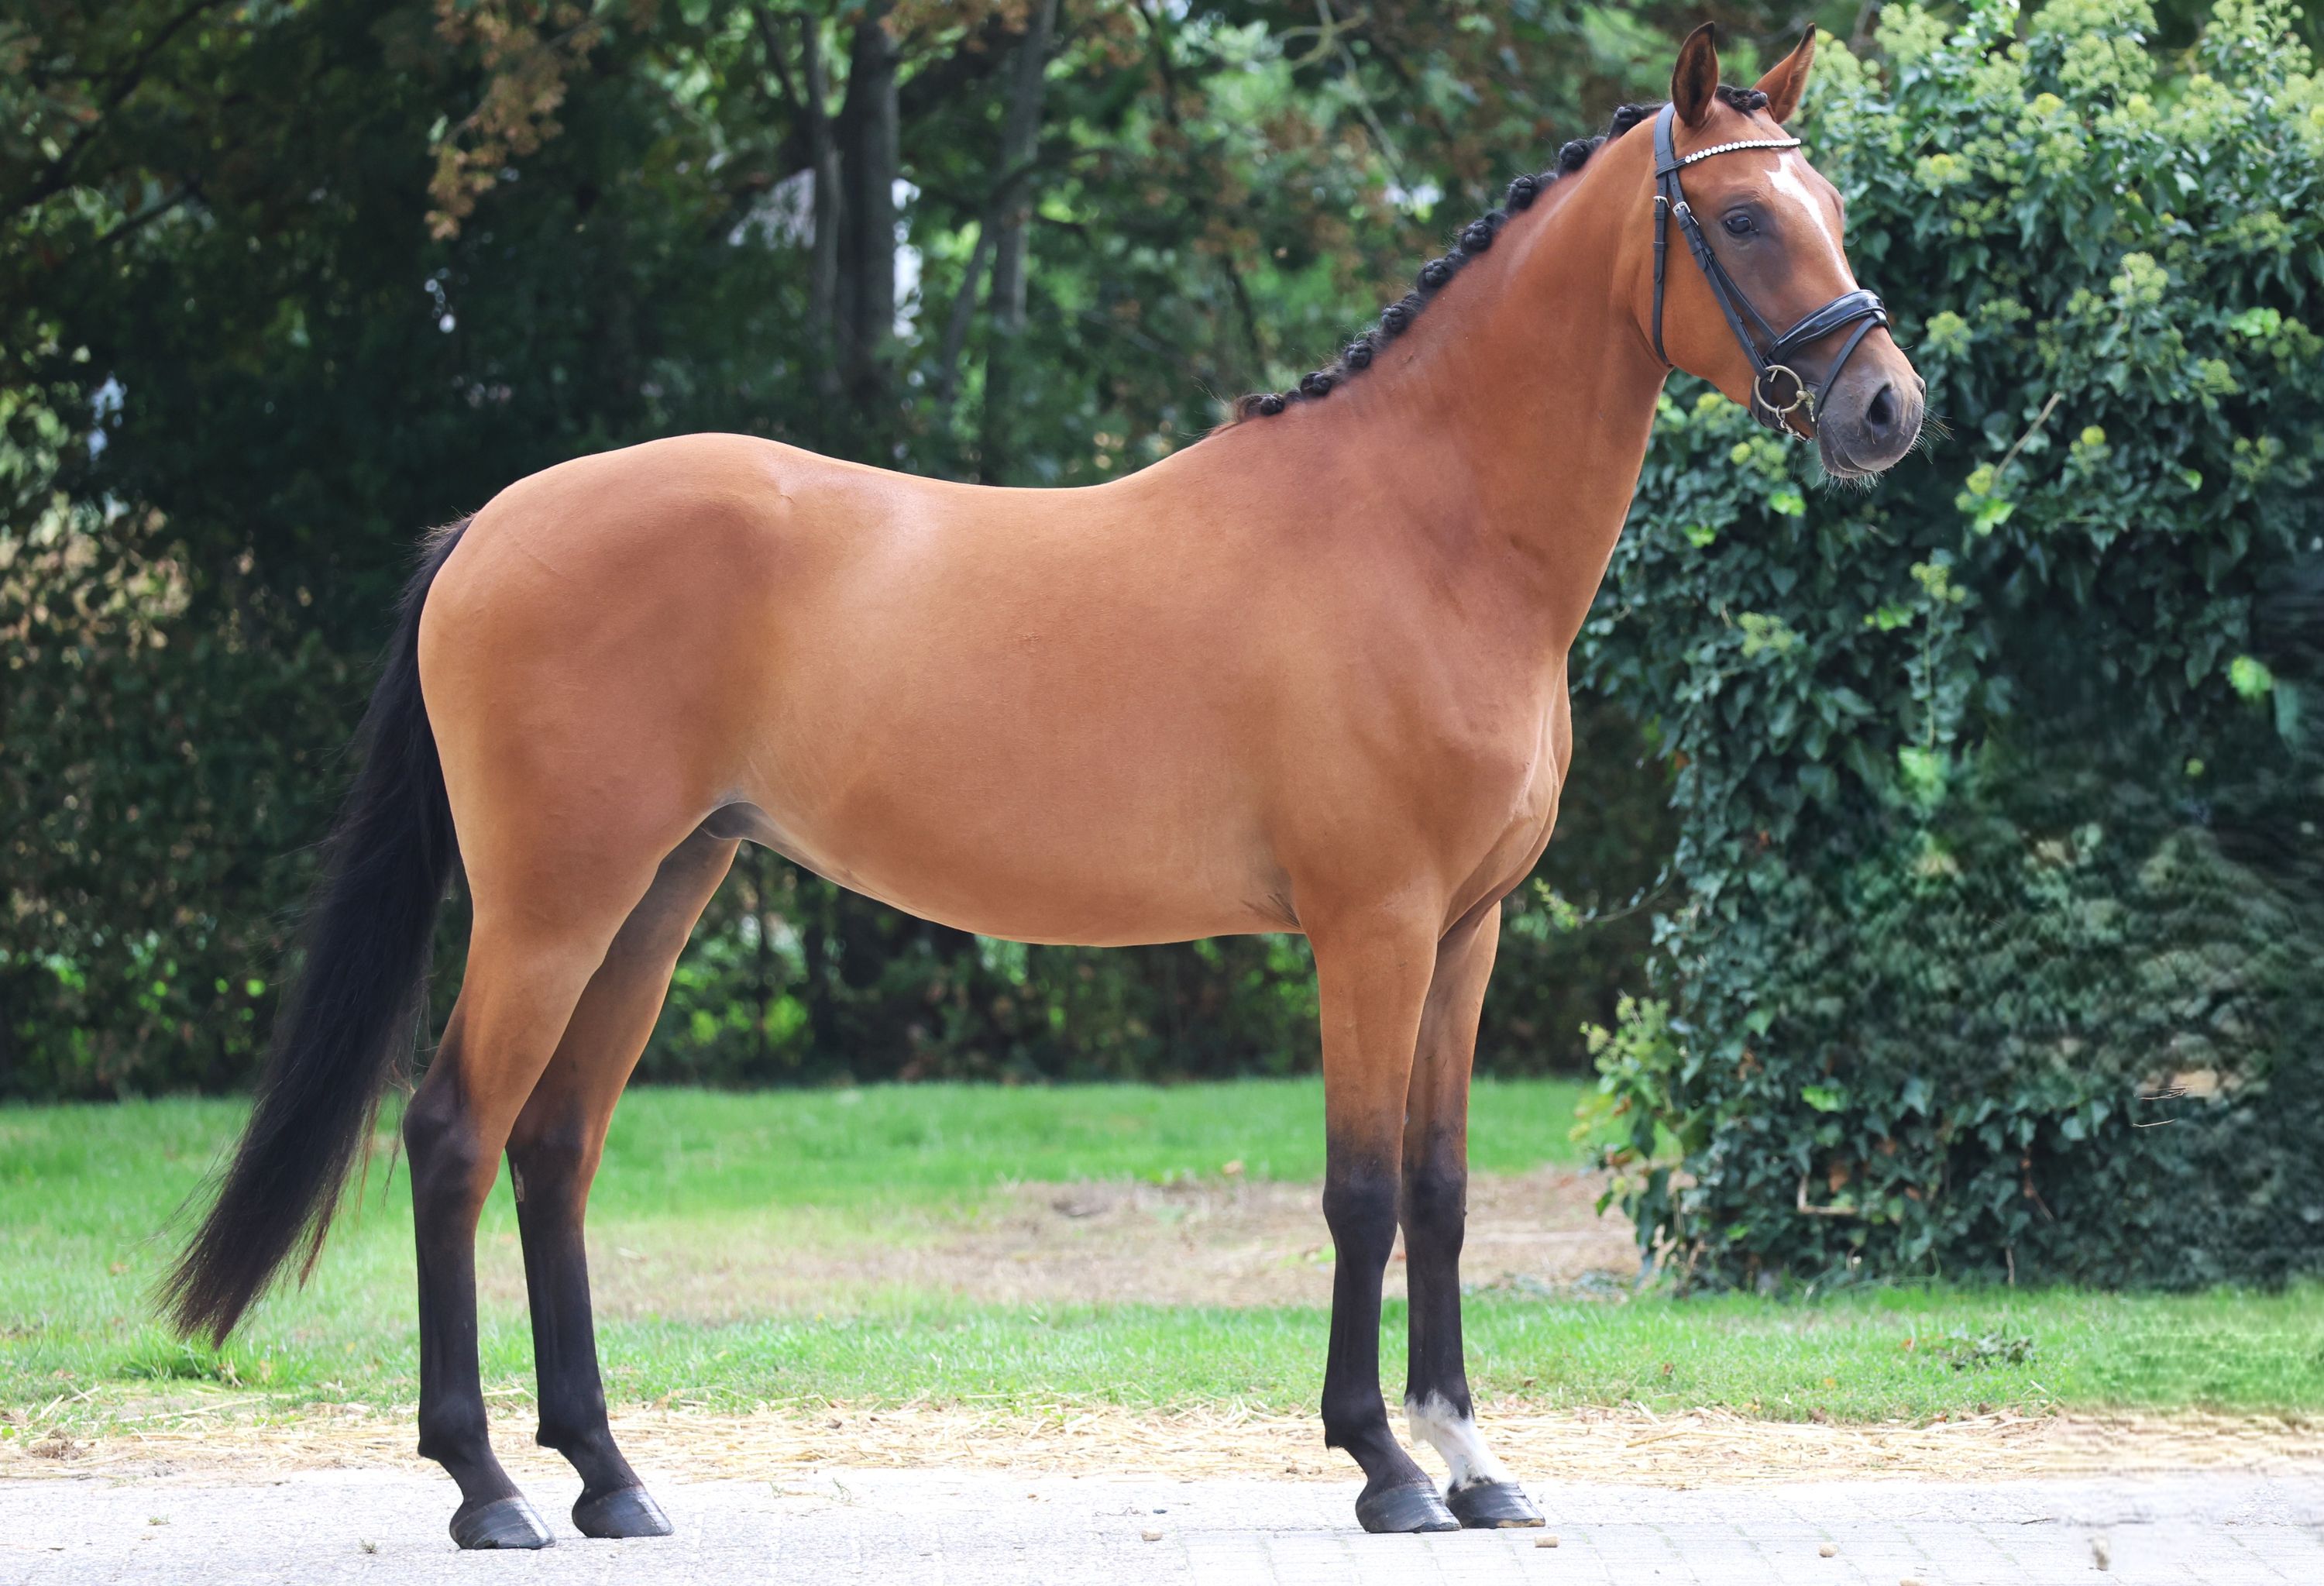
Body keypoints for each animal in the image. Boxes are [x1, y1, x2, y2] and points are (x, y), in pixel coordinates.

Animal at [164, 23, 1921, 1549]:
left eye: (1832, 208)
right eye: (1747, 218)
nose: (1888, 406)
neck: (1425, 530)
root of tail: (489, 525)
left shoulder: (1468, 933)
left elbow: (1439, 1190)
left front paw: (1474, 1461)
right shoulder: (1373, 929)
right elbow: (1359, 1192)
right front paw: (1382, 1463)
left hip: (661, 896)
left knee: (554, 1151)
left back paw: (608, 1475)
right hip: (552, 904)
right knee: (456, 1134)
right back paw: (487, 1487)